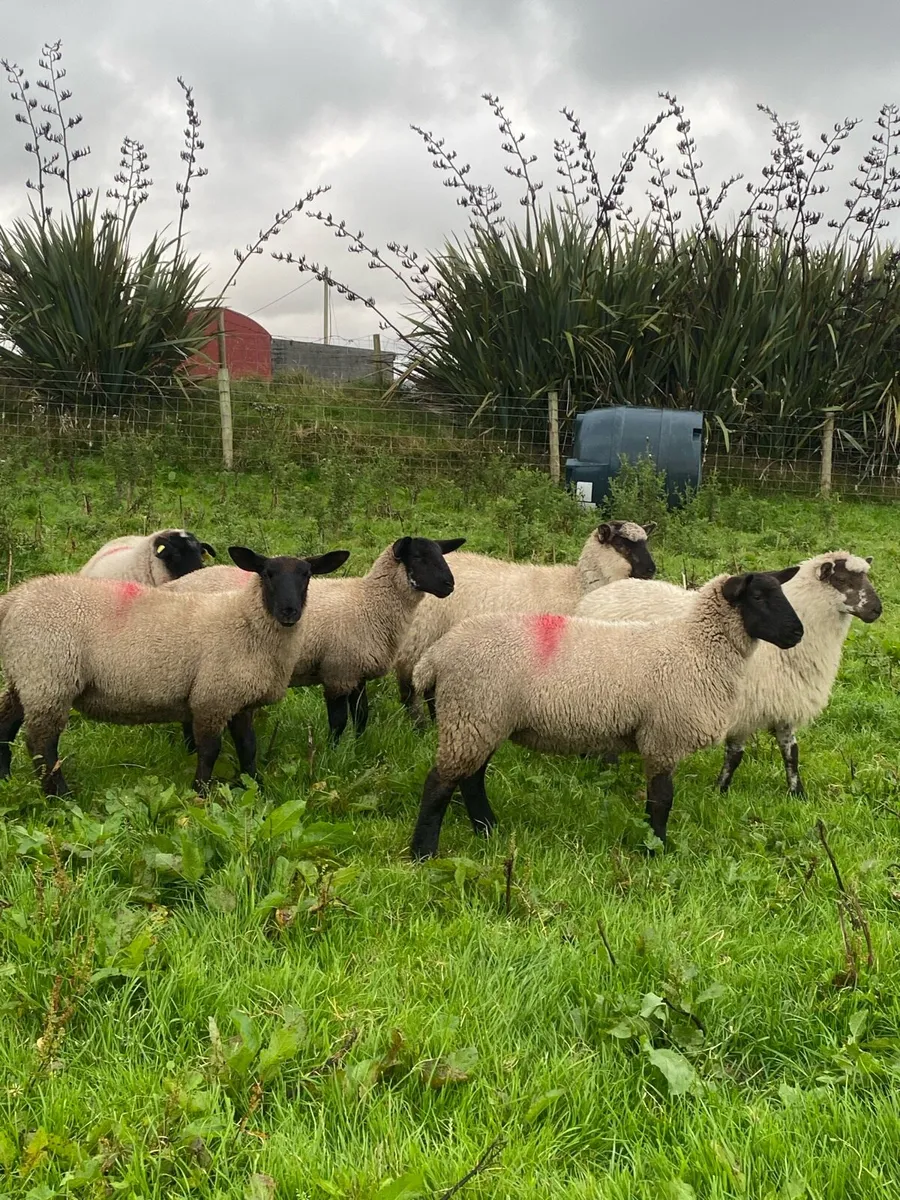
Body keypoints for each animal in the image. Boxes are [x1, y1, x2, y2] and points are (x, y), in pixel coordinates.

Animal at [0, 545, 350, 795]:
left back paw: (5, 779)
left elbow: (248, 747)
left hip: (26, 675)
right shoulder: (212, 696)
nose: (289, 611)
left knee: (7, 724)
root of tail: (16, 596)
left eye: (306, 575)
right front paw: (201, 792)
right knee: (41, 744)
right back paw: (60, 796)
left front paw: (254, 786)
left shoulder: (239, 699)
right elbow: (210, 750)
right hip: (49, 676)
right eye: (267, 573)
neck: (244, 621)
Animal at [165, 536, 466, 744]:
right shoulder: (337, 672)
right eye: (418, 556)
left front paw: (358, 749)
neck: (368, 603)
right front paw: (334, 753)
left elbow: (362, 716)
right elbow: (338, 721)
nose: (449, 585)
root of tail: (174, 585)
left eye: (440, 554)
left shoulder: (356, 672)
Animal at [393, 520, 658, 725]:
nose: (651, 570)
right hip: (419, 634)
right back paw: (418, 725)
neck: (576, 587)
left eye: (646, 543)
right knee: (409, 684)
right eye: (622, 545)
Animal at [407, 568, 804, 859]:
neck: (695, 647)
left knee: (471, 779)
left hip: (481, 718)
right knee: (440, 783)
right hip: (471, 712)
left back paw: (488, 829)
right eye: (757, 597)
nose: (797, 633)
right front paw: (656, 850)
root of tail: (438, 653)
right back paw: (424, 853)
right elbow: (661, 799)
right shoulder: (662, 737)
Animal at [577, 552, 882, 795]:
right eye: (842, 580)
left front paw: (798, 794)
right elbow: (735, 755)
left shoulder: (783, 704)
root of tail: (597, 594)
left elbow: (791, 753)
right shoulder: (743, 708)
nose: (876, 610)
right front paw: (720, 790)